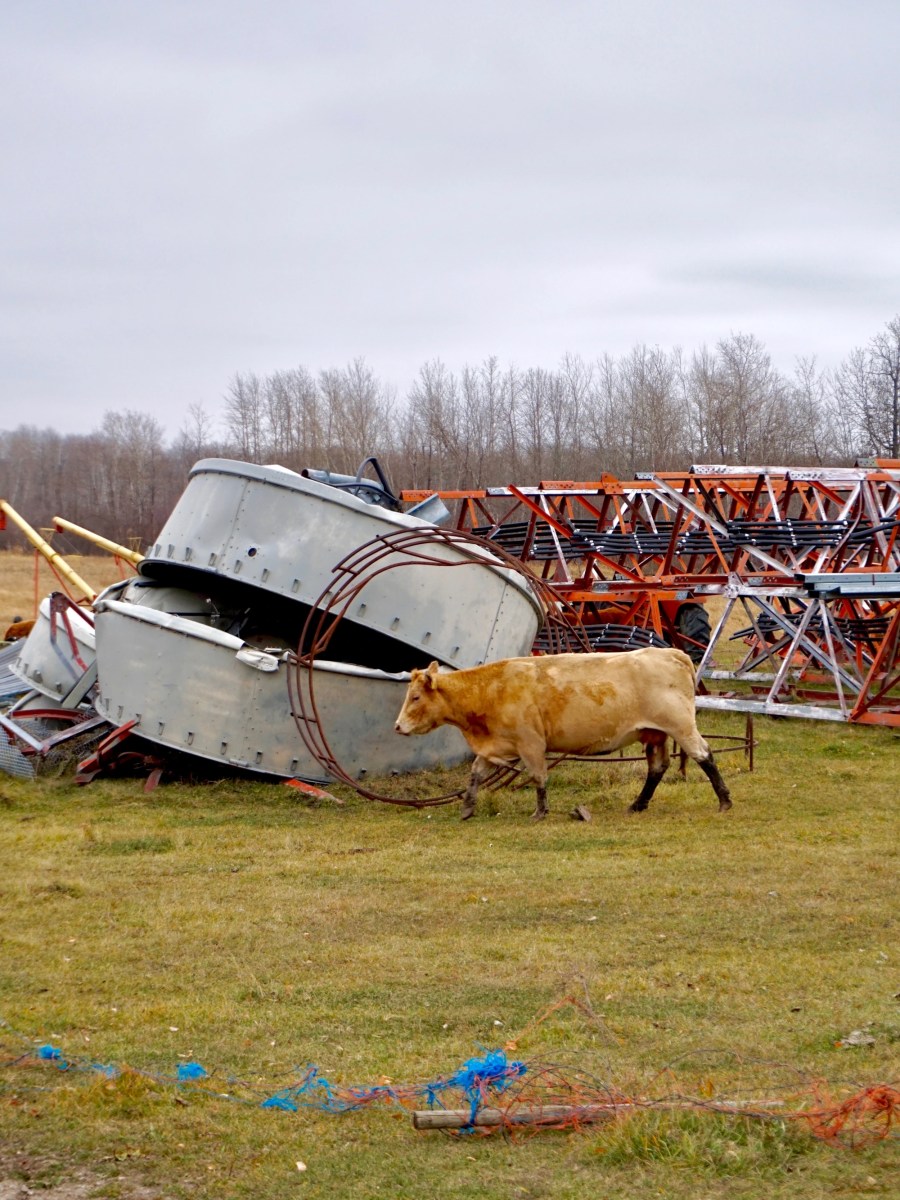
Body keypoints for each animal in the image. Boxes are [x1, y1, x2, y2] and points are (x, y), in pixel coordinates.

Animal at [394, 648, 732, 820]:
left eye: (415, 697)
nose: (397, 727)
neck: (492, 688)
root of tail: (671, 653)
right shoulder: (497, 746)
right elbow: (476, 773)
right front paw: (467, 808)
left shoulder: (530, 744)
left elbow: (538, 776)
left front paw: (540, 812)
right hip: (654, 734)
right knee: (657, 768)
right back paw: (638, 804)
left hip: (681, 727)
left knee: (704, 755)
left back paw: (724, 801)